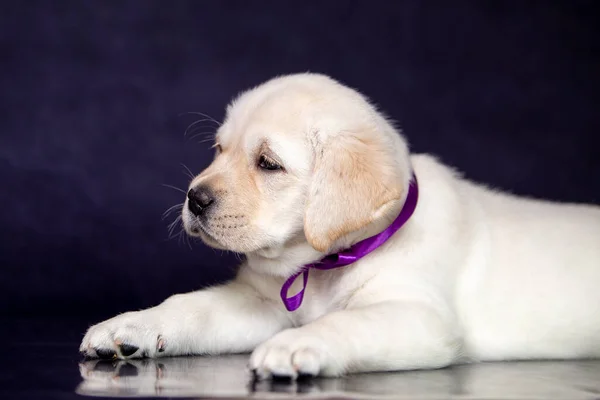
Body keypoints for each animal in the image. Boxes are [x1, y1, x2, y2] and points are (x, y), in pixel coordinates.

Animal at [82, 74, 600, 378]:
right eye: (219, 150)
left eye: (267, 163)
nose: (194, 198)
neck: (324, 264)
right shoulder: (257, 303)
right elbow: (188, 308)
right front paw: (132, 324)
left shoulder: (419, 315)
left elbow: (347, 321)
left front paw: (296, 343)